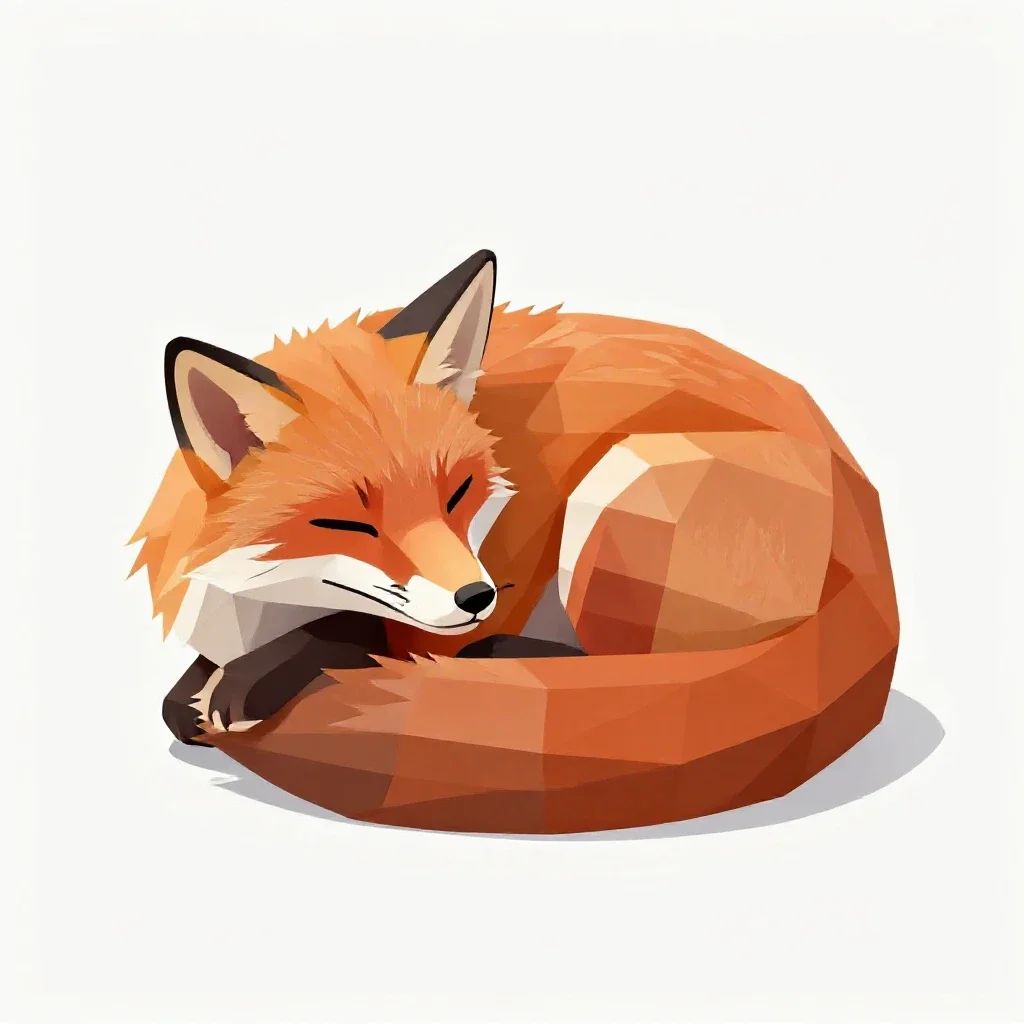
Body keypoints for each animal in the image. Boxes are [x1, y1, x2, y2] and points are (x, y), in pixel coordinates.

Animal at [131, 250, 899, 829]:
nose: (478, 597)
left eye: (458, 493)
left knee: (613, 671)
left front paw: (252, 681)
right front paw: (202, 686)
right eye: (350, 523)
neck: (266, 605)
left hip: (611, 503)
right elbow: (174, 702)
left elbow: (359, 629)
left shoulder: (426, 620)